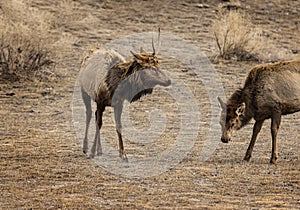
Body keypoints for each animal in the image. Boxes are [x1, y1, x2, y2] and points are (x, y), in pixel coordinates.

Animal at [78, 30, 170, 161]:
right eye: (151, 68)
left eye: (158, 66)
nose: (168, 81)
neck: (116, 85)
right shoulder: (100, 100)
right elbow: (99, 124)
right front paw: (91, 152)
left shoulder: (118, 103)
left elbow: (119, 126)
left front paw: (123, 154)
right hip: (84, 91)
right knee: (89, 115)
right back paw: (86, 147)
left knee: (95, 115)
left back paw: (99, 149)